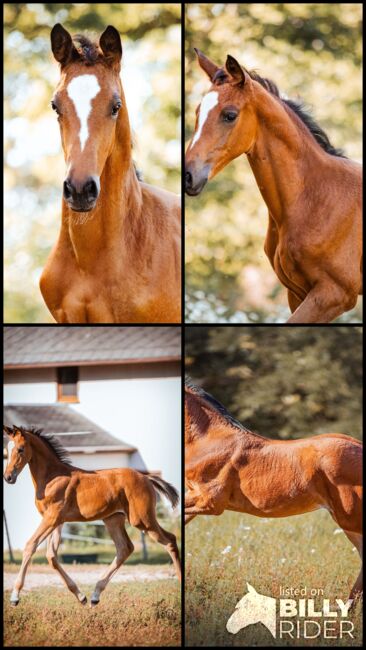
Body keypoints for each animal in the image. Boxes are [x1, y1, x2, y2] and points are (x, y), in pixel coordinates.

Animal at [186, 49, 364, 322]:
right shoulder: (297, 293)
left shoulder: (335, 294)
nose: (188, 175)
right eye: (198, 113)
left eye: (230, 115)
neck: (312, 200)